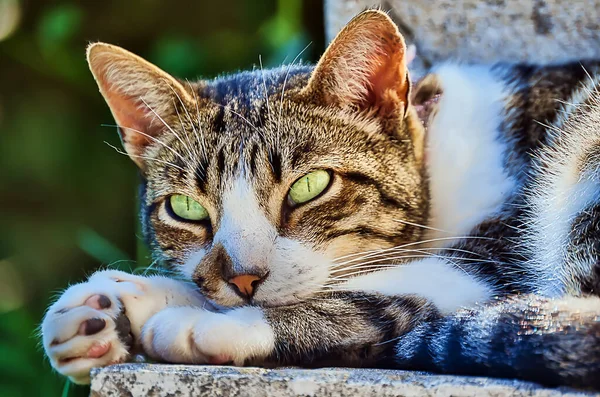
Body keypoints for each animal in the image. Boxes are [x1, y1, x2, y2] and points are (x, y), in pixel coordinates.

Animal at [39, 8, 600, 386]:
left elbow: (374, 291)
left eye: (310, 186)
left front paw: (204, 322)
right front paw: (106, 308)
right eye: (186, 208)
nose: (244, 279)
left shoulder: (495, 251)